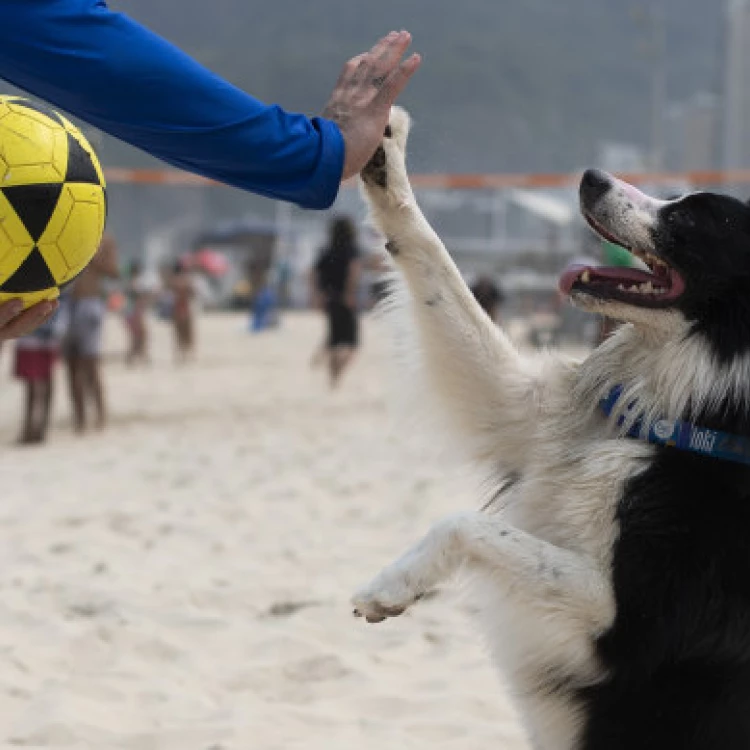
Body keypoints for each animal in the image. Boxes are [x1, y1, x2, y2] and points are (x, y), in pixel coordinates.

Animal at [352, 107, 750, 750]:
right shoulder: (529, 417)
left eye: (689, 215)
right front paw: (385, 150)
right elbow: (435, 265)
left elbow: (471, 525)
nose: (591, 177)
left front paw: (391, 585)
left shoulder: (630, 625)